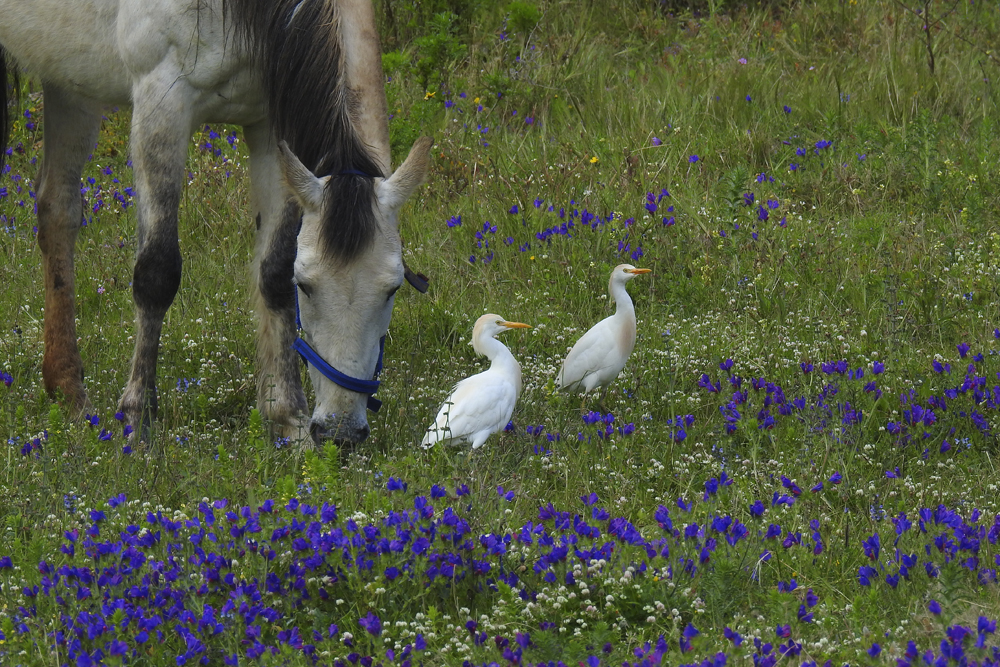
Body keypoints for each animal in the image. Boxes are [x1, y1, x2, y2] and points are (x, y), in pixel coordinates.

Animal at [0, 3, 426, 448]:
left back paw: (69, 393)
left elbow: (273, 271)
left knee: (58, 210)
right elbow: (157, 272)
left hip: (67, 77)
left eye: (393, 289)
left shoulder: (272, 125)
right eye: (307, 286)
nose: (341, 432)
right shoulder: (161, 105)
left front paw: (286, 418)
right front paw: (137, 420)